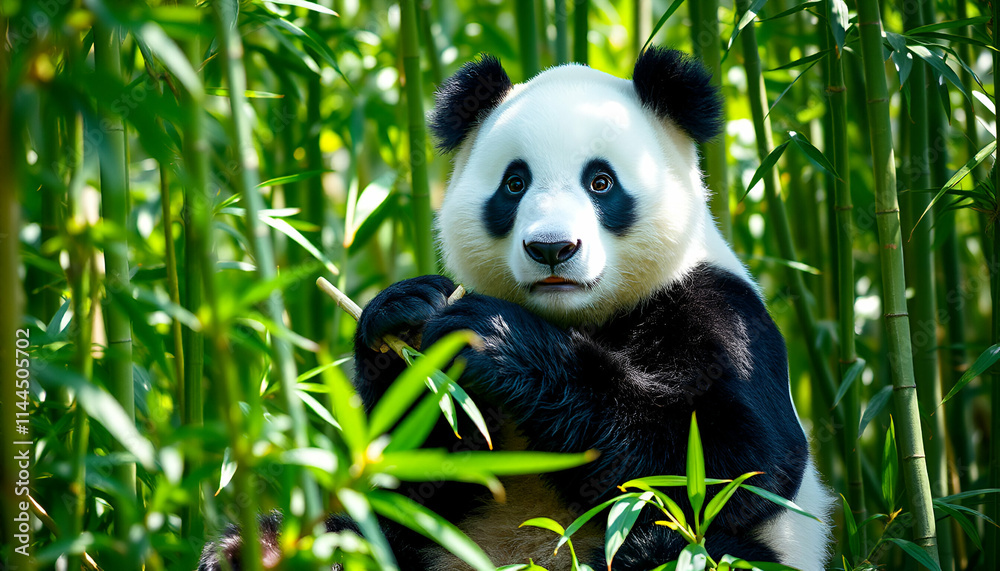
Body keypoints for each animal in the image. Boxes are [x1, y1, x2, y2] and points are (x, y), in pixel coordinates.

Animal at [200, 48, 834, 571]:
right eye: (514, 183)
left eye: (601, 182)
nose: (552, 248)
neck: (576, 316)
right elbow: (403, 470)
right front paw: (403, 314)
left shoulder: (715, 307)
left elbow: (730, 459)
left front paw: (503, 343)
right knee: (351, 536)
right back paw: (254, 553)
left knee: (685, 547)